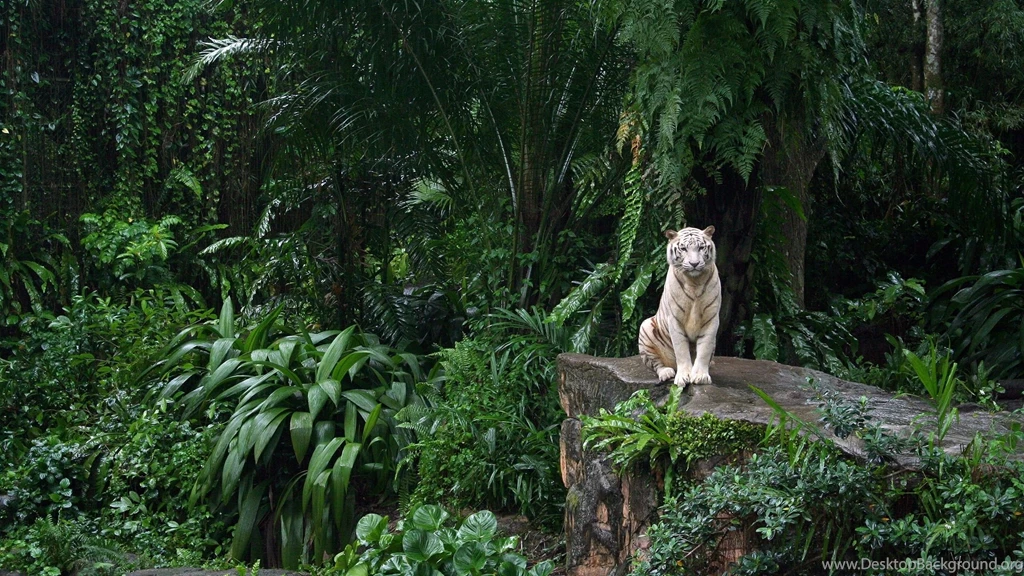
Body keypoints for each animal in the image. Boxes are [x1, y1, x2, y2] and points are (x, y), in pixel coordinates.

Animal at [638, 226, 721, 388]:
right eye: (683, 249)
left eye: (701, 247)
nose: (694, 263)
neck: (694, 282)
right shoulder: (675, 319)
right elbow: (681, 350)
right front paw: (684, 377)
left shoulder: (711, 318)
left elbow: (704, 349)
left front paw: (700, 376)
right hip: (645, 327)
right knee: (656, 364)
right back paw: (666, 373)